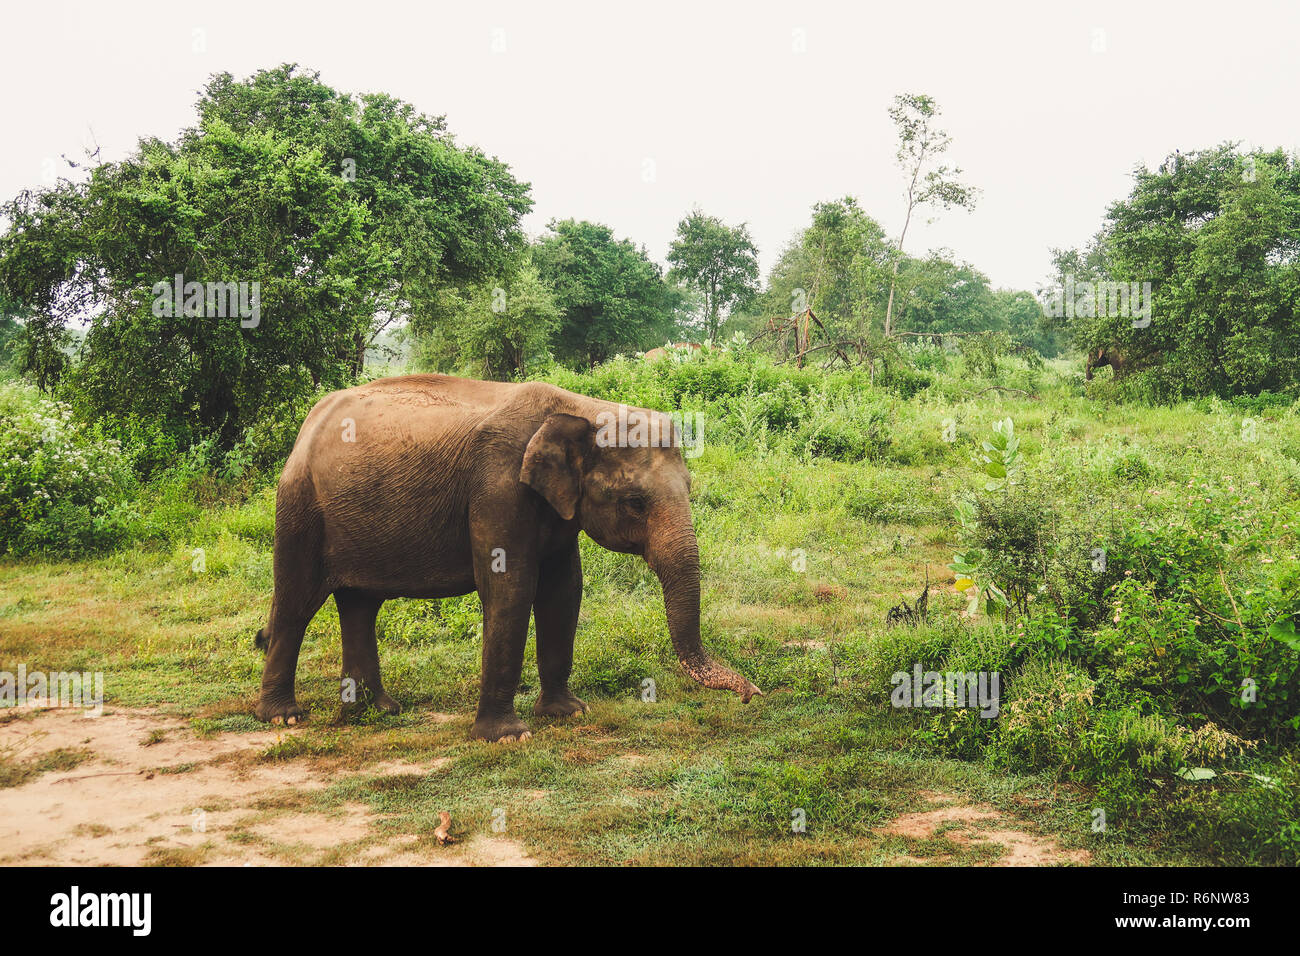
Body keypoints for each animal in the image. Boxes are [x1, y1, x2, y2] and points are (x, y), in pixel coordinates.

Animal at [253, 371, 759, 738]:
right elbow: (510, 587)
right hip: (300, 506)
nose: (752, 694)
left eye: (690, 489)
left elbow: (564, 591)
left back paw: (379, 710)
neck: (582, 408)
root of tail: (307, 425)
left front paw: (568, 713)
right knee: (297, 602)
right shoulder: (497, 488)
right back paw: (283, 717)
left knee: (360, 604)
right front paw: (508, 736)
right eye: (635, 502)